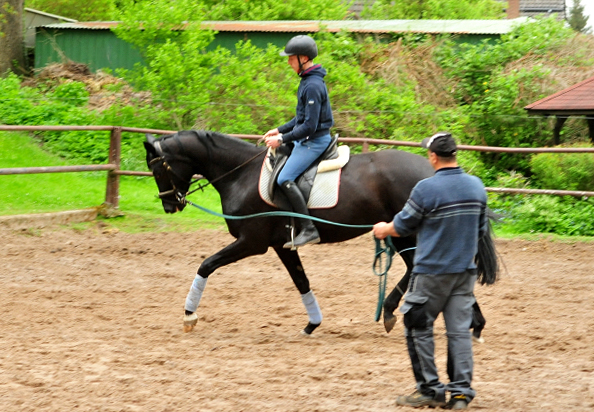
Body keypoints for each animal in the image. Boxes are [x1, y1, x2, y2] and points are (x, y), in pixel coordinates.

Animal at [143, 130, 494, 336]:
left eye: (157, 167)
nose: (170, 205)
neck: (241, 175)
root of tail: (430, 172)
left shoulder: (252, 242)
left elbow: (206, 265)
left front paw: (189, 315)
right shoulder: (282, 245)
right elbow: (302, 281)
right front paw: (312, 324)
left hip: (407, 234)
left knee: (426, 268)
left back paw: (399, 312)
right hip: (402, 234)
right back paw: (469, 322)